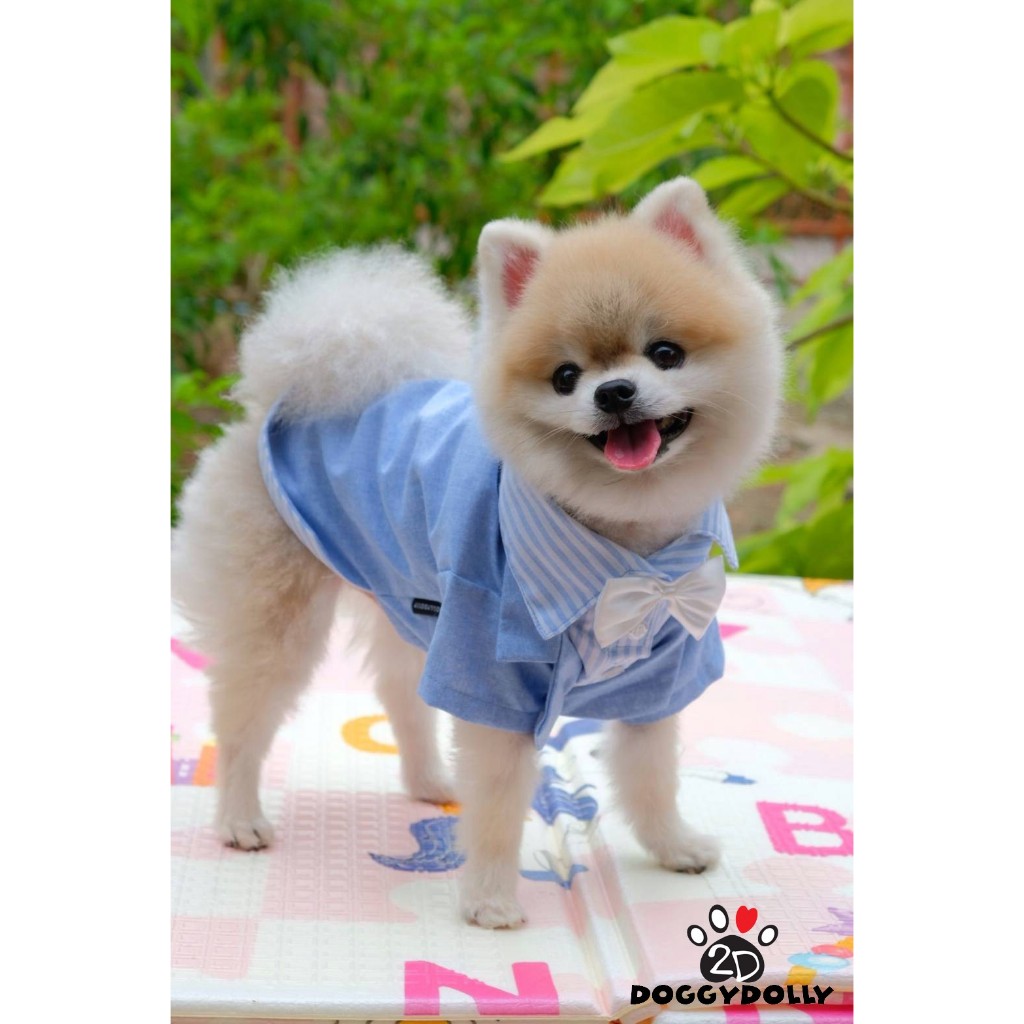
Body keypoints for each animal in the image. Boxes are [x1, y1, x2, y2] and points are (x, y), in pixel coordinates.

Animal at [172, 177, 782, 929]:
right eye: (566, 376)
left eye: (666, 353)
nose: (614, 392)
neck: (625, 546)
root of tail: (281, 397)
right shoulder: (494, 675)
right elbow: (498, 803)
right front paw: (490, 899)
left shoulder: (664, 666)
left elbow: (651, 774)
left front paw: (673, 846)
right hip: (279, 615)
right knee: (241, 721)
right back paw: (239, 817)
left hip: (408, 599)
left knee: (402, 695)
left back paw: (432, 781)